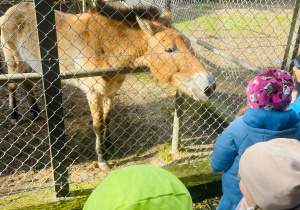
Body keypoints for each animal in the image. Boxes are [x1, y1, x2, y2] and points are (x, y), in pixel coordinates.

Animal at [0, 0, 216, 171]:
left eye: (189, 44)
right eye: (169, 49)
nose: (210, 86)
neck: (106, 45)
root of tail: (11, 10)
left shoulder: (111, 91)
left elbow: (107, 118)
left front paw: (109, 144)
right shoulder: (93, 93)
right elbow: (97, 124)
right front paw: (102, 160)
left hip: (29, 65)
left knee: (28, 84)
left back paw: (35, 111)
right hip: (13, 61)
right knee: (12, 86)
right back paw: (14, 114)